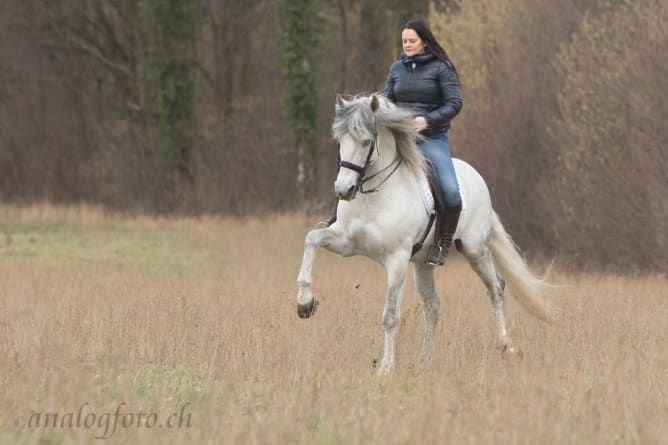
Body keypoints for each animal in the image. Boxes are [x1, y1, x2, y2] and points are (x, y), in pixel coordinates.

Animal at [296, 94, 552, 374]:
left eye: (365, 141)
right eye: (340, 140)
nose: (344, 190)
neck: (375, 196)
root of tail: (476, 176)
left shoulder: (396, 259)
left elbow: (390, 316)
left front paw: (385, 368)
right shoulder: (346, 243)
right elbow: (311, 239)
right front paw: (305, 304)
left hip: (475, 250)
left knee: (496, 288)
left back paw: (505, 347)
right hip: (422, 265)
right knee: (433, 306)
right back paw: (425, 360)